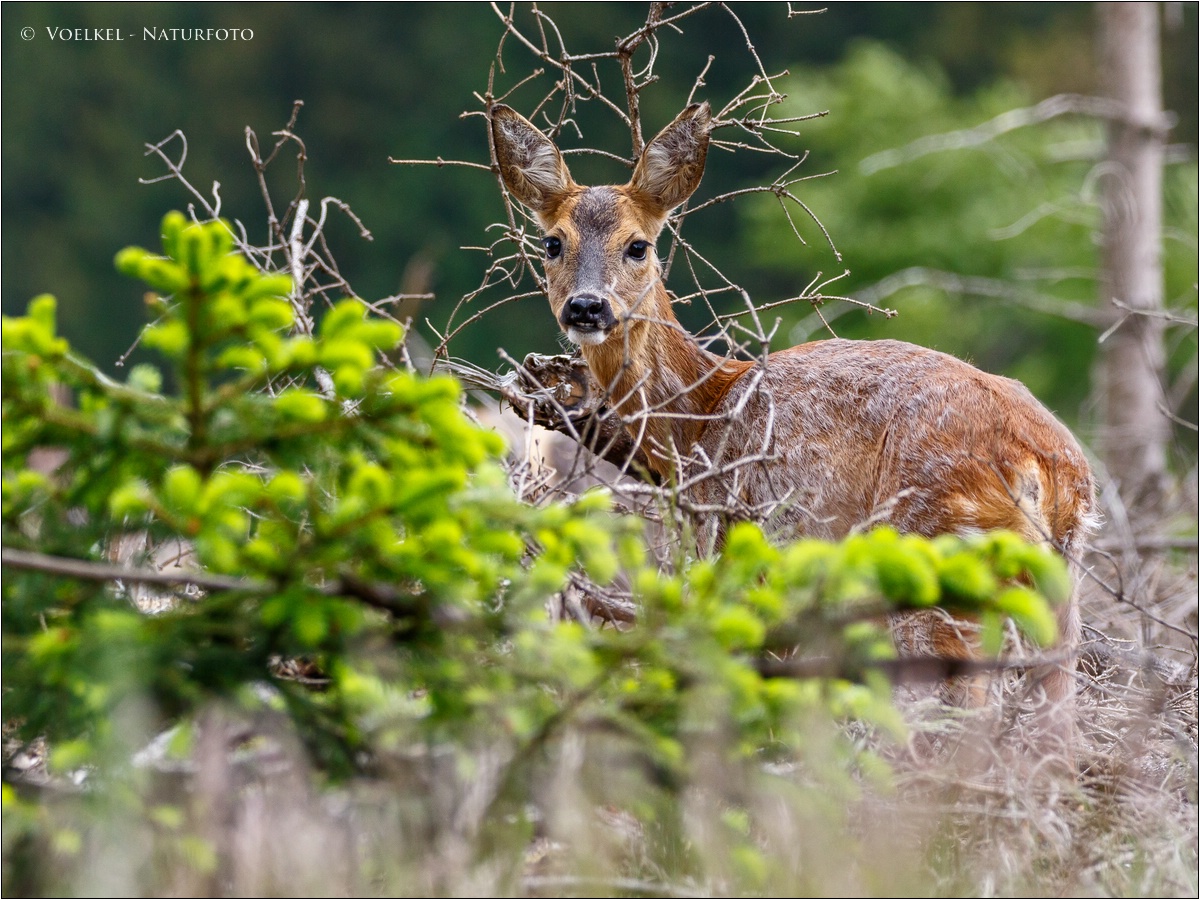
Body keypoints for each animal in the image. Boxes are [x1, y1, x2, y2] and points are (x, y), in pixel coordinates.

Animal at [487, 102, 1099, 758]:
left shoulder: (740, 536)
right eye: (552, 241)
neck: (698, 418)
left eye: (638, 245)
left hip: (934, 543)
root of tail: (1046, 464)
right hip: (1062, 578)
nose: (586, 307)